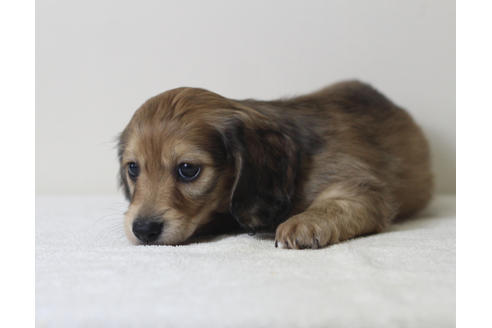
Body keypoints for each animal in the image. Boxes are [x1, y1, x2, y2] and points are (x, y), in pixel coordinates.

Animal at [118, 81, 430, 249]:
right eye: (133, 168)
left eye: (187, 169)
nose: (143, 230)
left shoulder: (359, 187)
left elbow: (337, 204)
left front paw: (303, 223)